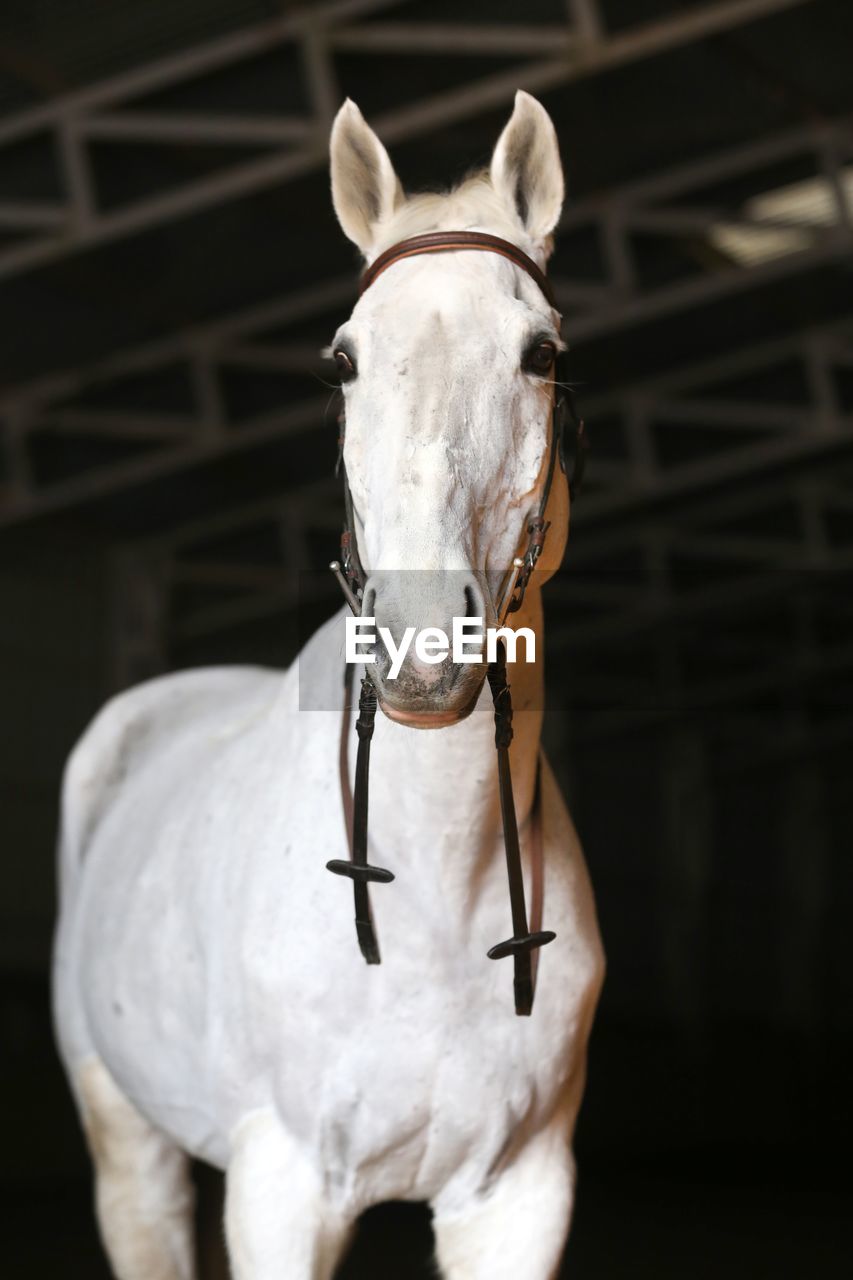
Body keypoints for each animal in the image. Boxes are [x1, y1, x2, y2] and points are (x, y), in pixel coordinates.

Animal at [49, 92, 601, 1280]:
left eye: (540, 353)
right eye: (341, 362)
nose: (424, 646)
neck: (436, 883)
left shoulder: (520, 1199)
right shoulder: (285, 1190)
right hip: (129, 1145)